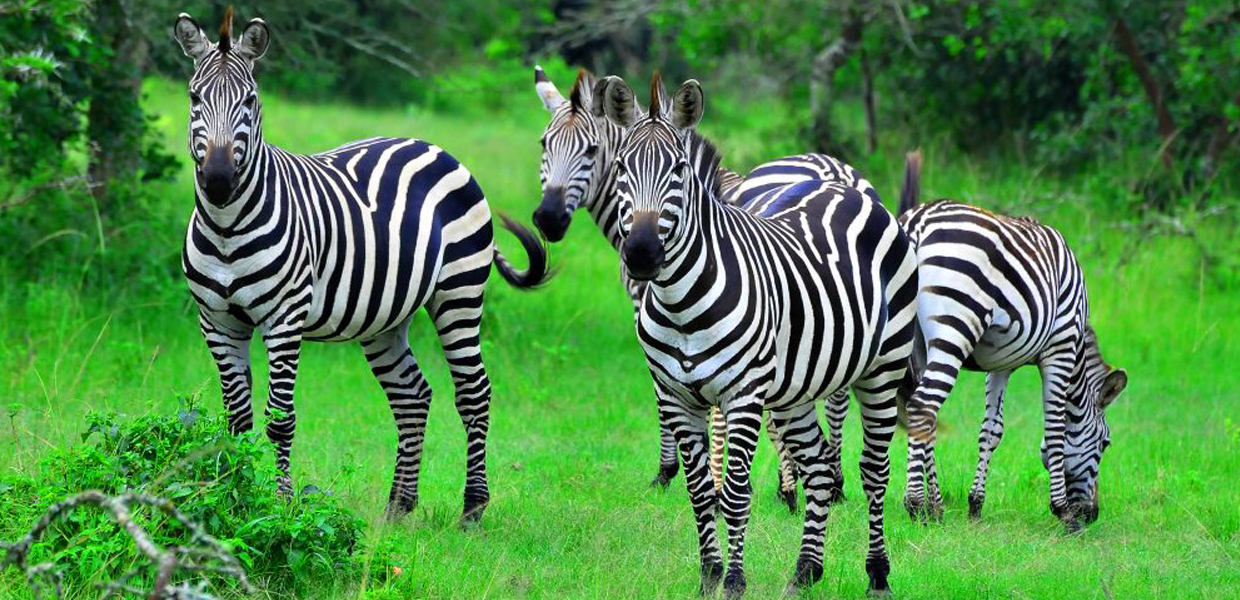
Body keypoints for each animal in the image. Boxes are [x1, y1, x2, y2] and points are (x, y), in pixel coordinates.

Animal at [172, 9, 550, 525]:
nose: (218, 180)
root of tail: (434, 146)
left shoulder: (284, 320)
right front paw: (232, 498)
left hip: (459, 293)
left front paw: (281, 506)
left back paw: (473, 507)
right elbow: (237, 419)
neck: (227, 226)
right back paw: (399, 505)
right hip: (386, 317)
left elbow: (279, 420)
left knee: (474, 393)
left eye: (250, 100)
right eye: (194, 97)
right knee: (413, 395)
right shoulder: (216, 321)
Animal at [528, 66, 798, 505]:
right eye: (544, 144)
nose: (548, 219)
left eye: (591, 150)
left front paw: (668, 471)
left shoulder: (650, 308)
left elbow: (666, 395)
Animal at [600, 76, 922, 600]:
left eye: (680, 171)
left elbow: (733, 493)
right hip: (796, 391)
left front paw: (734, 580)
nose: (642, 254)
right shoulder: (675, 396)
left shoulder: (743, 395)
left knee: (874, 472)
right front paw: (709, 576)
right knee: (817, 469)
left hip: (882, 370)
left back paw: (877, 574)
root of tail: (849, 188)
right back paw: (805, 572)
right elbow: (699, 492)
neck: (680, 304)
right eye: (623, 168)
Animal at [897, 159, 1130, 525]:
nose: (1092, 514)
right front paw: (1062, 511)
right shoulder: (1060, 347)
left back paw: (934, 505)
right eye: (1105, 444)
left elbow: (991, 431)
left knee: (919, 409)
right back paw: (916, 504)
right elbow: (1055, 426)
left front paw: (975, 504)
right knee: (923, 406)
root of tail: (917, 222)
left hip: (916, 342)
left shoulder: (1001, 363)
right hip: (955, 328)